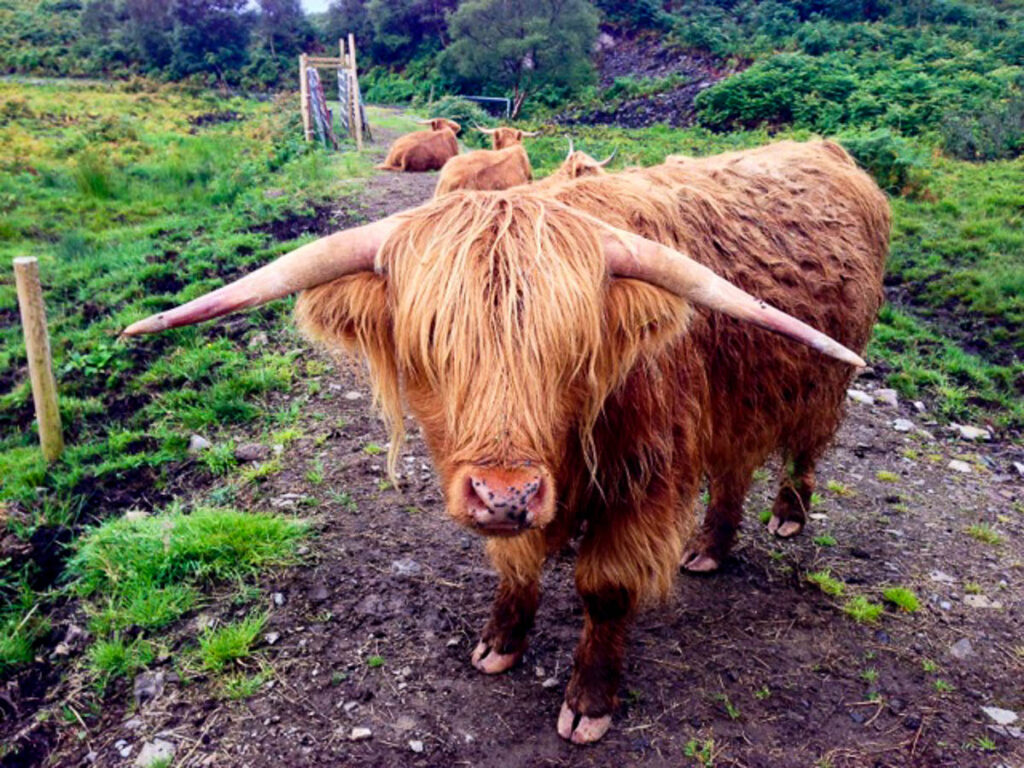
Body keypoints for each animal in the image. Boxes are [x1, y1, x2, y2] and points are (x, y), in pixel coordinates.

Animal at [121, 138, 888, 745]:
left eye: (572, 349)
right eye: (429, 346)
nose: (504, 493)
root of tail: (824, 148)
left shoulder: (646, 477)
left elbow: (605, 590)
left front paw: (590, 701)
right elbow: (516, 567)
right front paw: (501, 641)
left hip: (821, 381)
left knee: (803, 448)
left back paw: (787, 514)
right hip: (741, 396)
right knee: (734, 466)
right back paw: (709, 546)